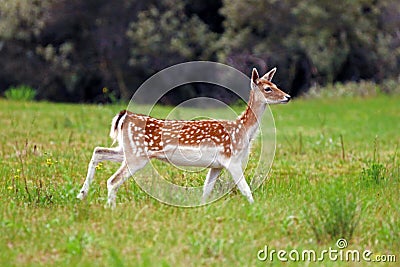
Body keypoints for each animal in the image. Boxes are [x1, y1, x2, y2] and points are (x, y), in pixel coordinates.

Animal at [76, 67, 290, 209]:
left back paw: (82, 194)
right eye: (268, 88)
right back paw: (110, 209)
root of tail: (125, 117)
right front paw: (256, 210)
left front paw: (202, 209)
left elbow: (206, 191)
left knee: (98, 151)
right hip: (137, 156)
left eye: (275, 84)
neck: (242, 131)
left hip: (126, 150)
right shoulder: (232, 160)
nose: (287, 97)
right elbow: (246, 189)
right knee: (112, 180)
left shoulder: (217, 165)